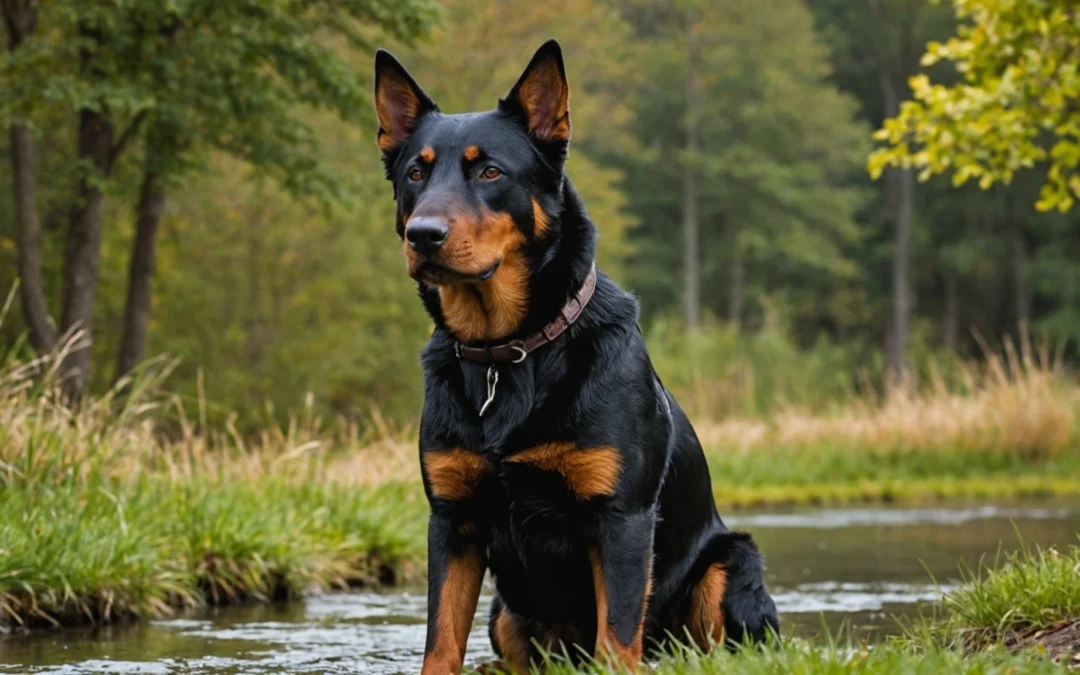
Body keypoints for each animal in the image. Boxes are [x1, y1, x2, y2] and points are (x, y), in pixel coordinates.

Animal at [373, 39, 777, 669]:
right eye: (416, 172)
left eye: (490, 170)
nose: (423, 234)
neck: (507, 354)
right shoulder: (452, 521)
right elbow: (440, 644)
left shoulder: (621, 520)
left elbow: (617, 637)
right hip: (505, 613)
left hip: (728, 563)